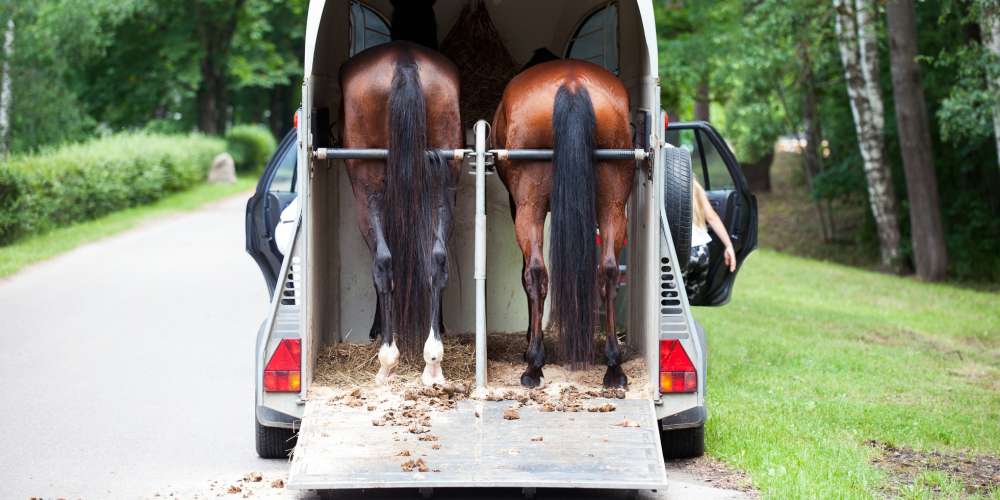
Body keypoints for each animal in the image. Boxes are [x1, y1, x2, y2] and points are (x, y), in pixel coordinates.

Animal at [340, 1, 462, 386]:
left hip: (365, 195)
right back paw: (432, 360)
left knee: (383, 261)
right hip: (442, 186)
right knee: (436, 259)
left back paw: (387, 360)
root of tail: (404, 62)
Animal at [492, 59, 634, 389]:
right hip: (613, 204)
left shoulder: (517, 205)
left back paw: (533, 365)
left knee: (535, 272)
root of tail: (571, 83)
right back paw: (614, 366)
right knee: (608, 271)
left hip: (528, 205)